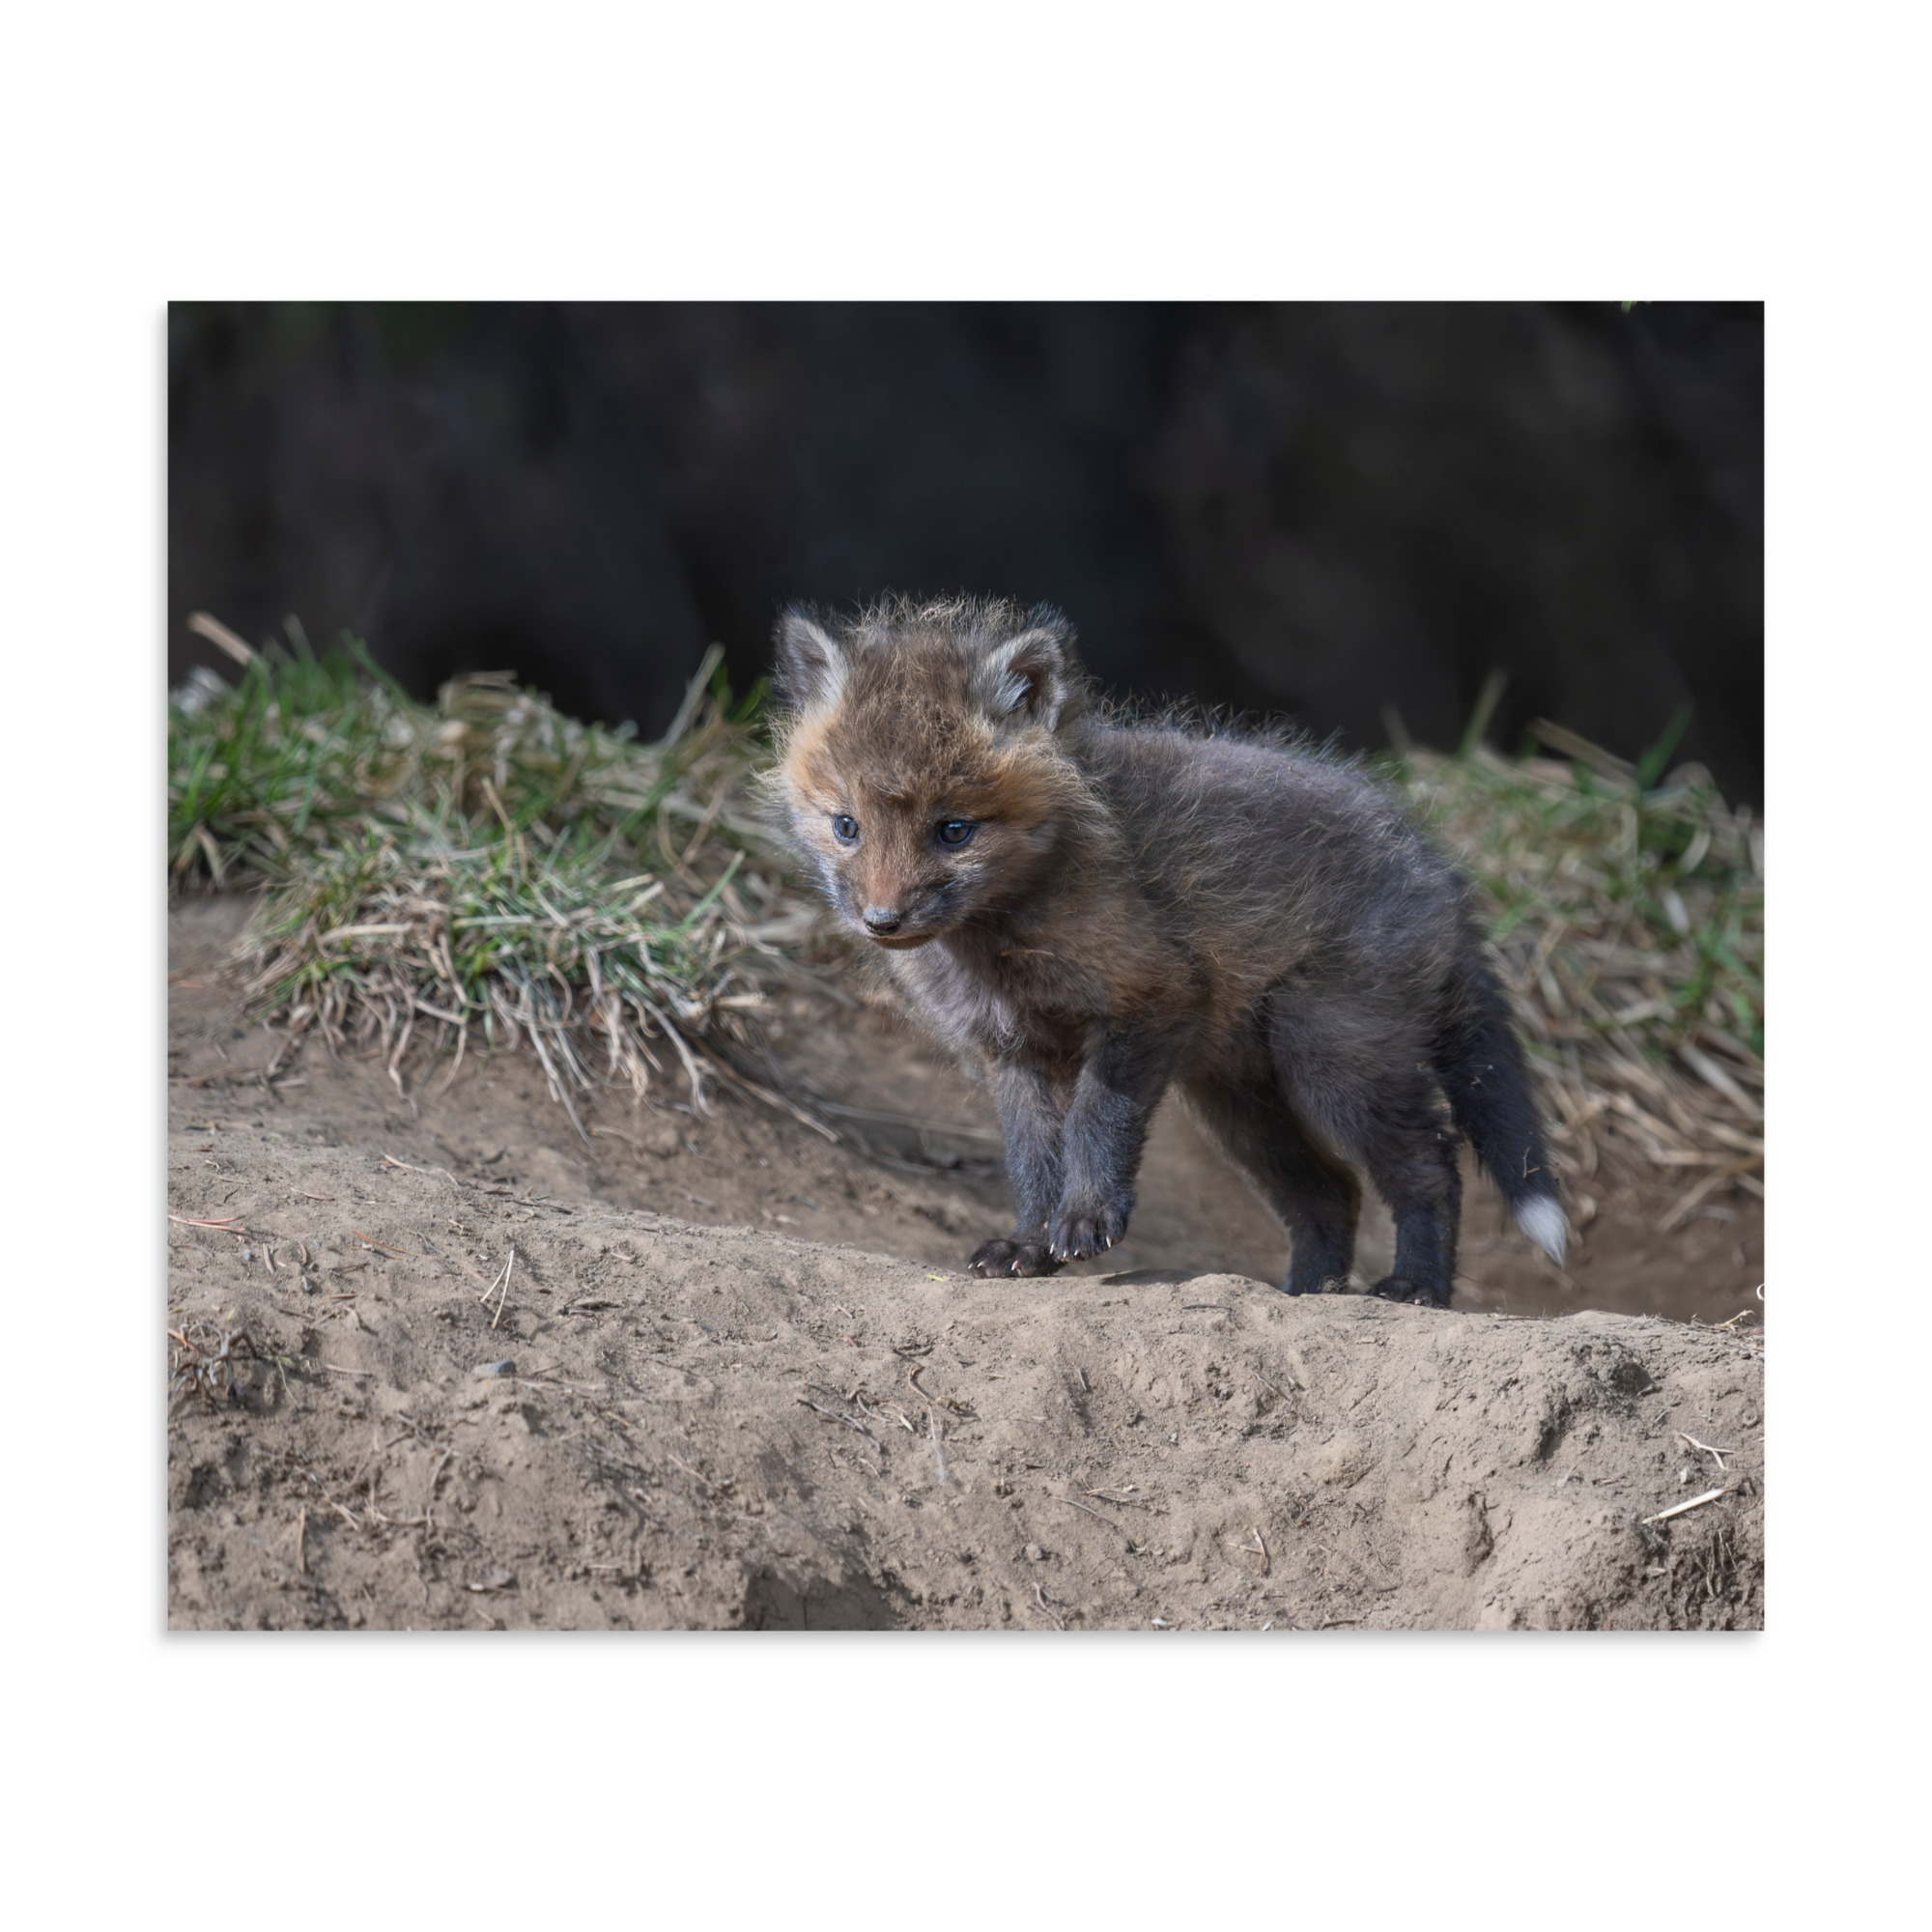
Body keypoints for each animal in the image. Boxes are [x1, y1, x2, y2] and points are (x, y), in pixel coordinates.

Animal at [767, 594, 1565, 1308]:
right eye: (846, 826)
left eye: (953, 830)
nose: (882, 921)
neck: (1002, 942)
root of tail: (1439, 869)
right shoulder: (1013, 1051)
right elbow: (1032, 1160)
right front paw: (1029, 1244)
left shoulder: (1147, 1000)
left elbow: (1096, 1123)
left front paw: (1086, 1219)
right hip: (1240, 1102)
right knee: (1331, 1192)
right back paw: (1307, 1293)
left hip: (1334, 1063)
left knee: (1431, 1165)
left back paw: (1417, 1286)